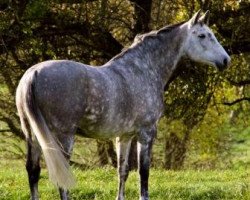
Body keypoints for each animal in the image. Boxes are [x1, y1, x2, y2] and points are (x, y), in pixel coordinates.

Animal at [15, 10, 230, 200]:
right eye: (202, 35)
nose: (226, 60)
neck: (142, 69)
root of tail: (33, 74)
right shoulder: (146, 133)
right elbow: (144, 172)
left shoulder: (124, 136)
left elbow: (123, 171)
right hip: (64, 135)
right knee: (61, 176)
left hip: (32, 135)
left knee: (33, 171)